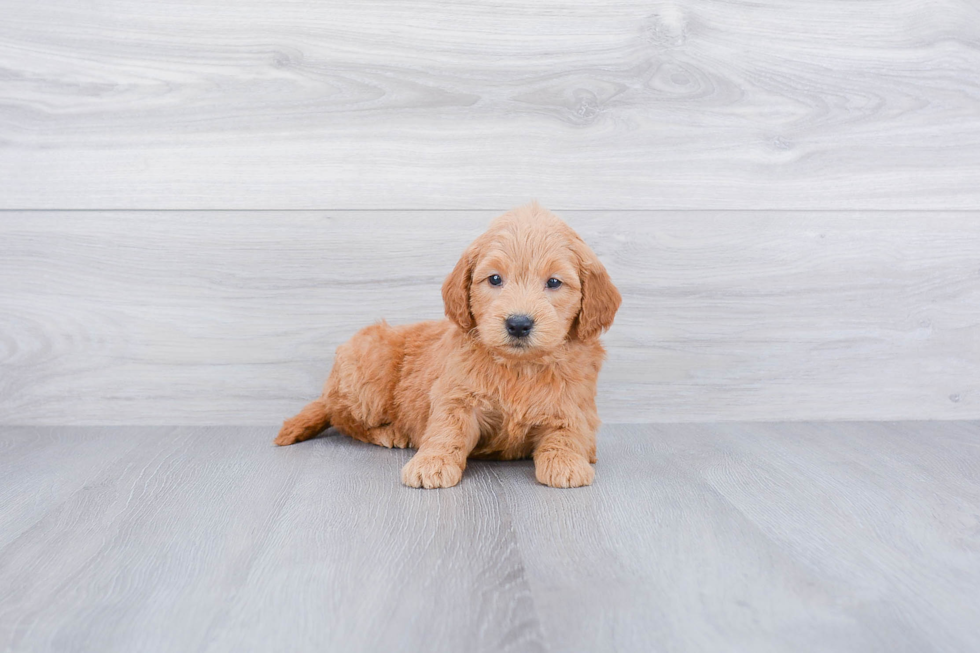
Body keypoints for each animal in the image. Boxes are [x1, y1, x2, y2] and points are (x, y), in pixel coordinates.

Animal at [272, 201, 620, 486]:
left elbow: (568, 434)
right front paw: (431, 463)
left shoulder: (573, 406)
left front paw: (567, 462)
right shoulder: (457, 396)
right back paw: (389, 432)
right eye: (495, 279)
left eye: (554, 282)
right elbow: (446, 429)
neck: (518, 368)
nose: (519, 324)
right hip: (368, 366)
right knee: (342, 417)